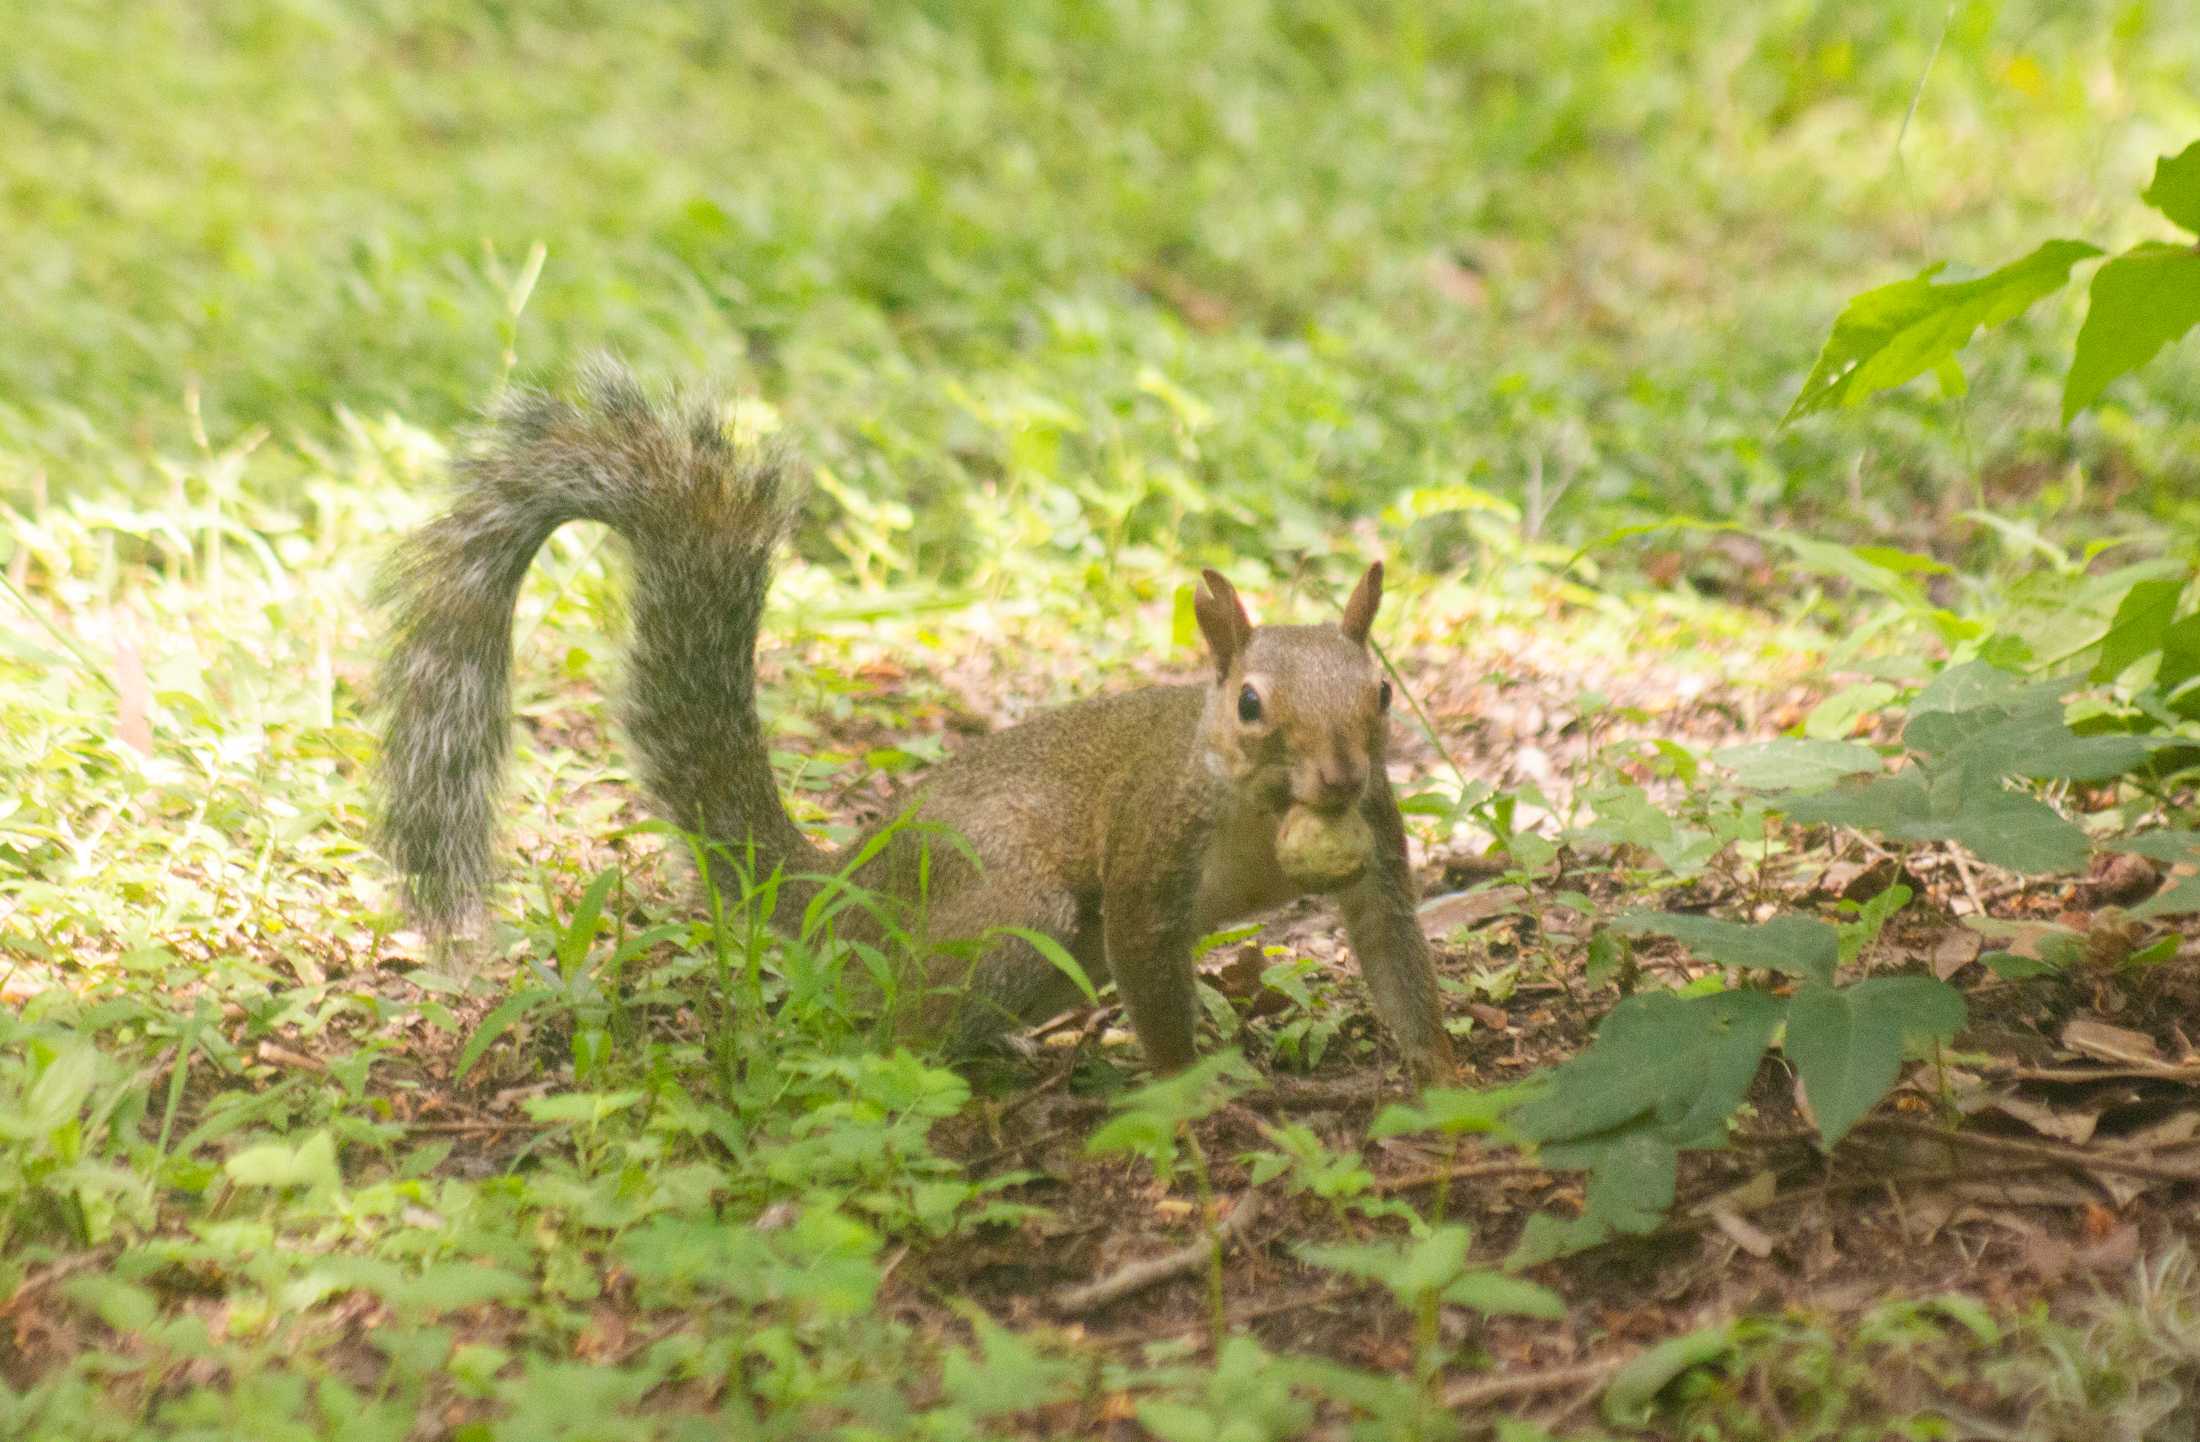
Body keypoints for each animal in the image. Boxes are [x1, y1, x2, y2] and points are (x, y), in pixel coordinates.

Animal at [378, 363, 1460, 1083]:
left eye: (1381, 694)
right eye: (1249, 705)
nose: (1339, 778)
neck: (1265, 808)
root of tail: (844, 895)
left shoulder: (1378, 839)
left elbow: (1394, 951)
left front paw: (1445, 1072)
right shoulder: (1152, 847)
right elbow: (1153, 978)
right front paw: (1194, 1089)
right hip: (1016, 907)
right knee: (891, 1026)